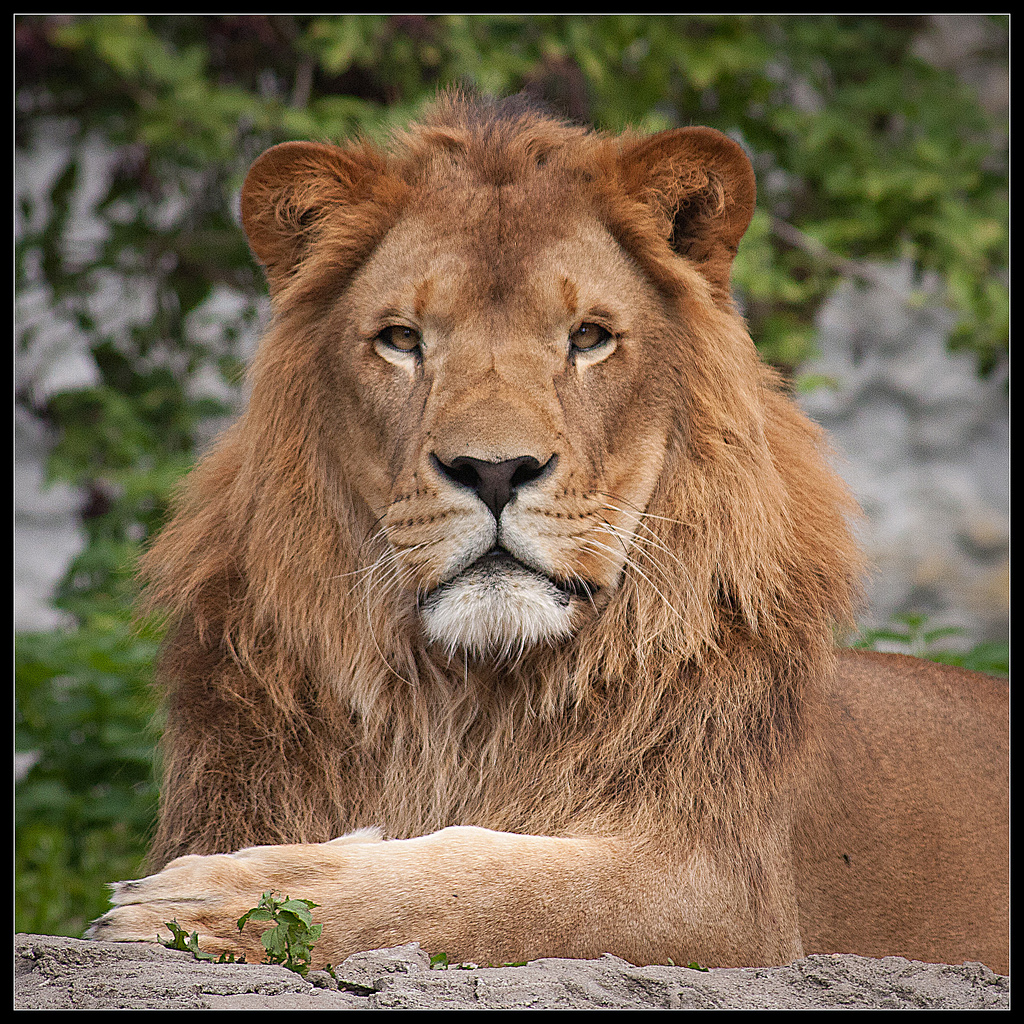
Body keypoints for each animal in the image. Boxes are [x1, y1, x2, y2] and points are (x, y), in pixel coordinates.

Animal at [88, 94, 1007, 974]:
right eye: (401, 340)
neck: (473, 700)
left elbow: (491, 886)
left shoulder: (727, 898)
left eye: (589, 337)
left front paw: (207, 899)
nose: (495, 470)